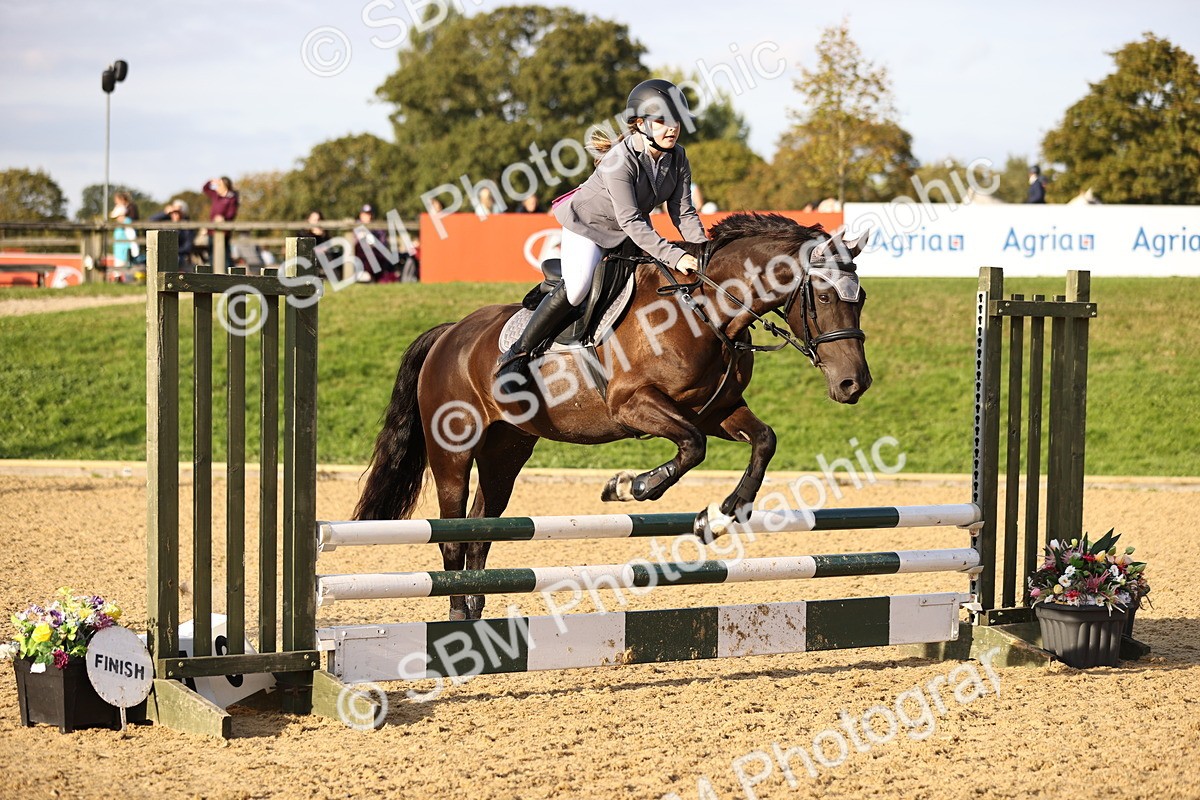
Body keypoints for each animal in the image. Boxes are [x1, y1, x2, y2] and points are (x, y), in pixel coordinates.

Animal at [353, 212, 871, 620]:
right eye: (824, 298)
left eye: (861, 298)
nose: (854, 384)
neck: (705, 310)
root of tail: (449, 334)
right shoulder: (634, 404)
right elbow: (692, 447)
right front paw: (629, 486)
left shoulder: (716, 410)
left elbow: (763, 440)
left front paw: (720, 516)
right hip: (453, 452)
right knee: (452, 535)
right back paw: (459, 613)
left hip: (507, 450)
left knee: (482, 529)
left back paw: (476, 611)